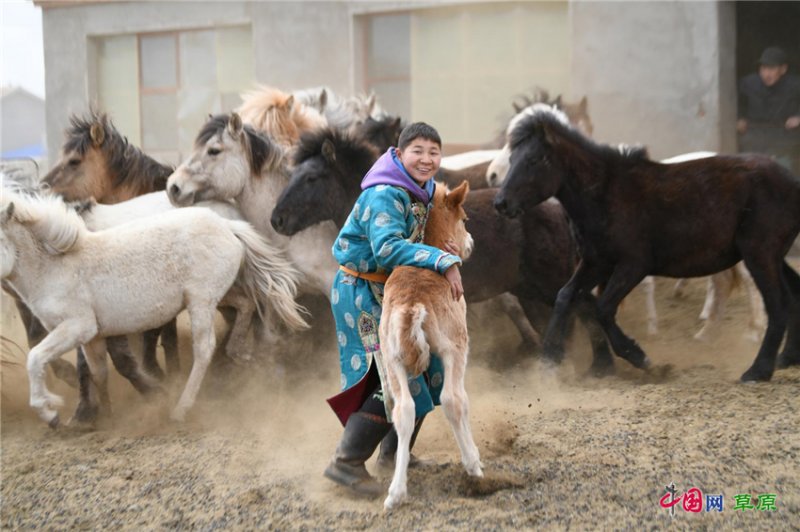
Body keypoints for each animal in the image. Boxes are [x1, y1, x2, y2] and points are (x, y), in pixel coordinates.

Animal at [0, 189, 308, 426]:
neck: (55, 266)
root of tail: (227, 226)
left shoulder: (77, 327)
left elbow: (35, 358)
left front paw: (49, 412)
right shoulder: (92, 336)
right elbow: (98, 372)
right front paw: (105, 417)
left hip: (201, 301)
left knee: (205, 348)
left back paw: (181, 408)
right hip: (217, 295)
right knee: (247, 304)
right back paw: (241, 353)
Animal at [268, 125, 644, 374]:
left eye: (311, 178)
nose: (277, 219)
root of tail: (557, 209)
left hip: (548, 282)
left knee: (584, 305)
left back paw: (612, 360)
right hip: (531, 285)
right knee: (581, 305)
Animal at [380, 181, 484, 510]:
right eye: (464, 219)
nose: (471, 242)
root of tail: (412, 305)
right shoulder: (459, 344)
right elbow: (459, 400)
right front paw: (474, 459)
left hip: (392, 359)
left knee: (403, 410)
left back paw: (396, 492)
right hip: (454, 347)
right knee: (452, 399)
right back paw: (473, 465)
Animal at [494, 106, 800, 382]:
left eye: (535, 159)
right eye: (512, 158)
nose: (501, 203)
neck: (604, 195)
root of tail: (792, 181)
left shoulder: (633, 265)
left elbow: (602, 308)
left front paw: (641, 358)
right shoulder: (597, 262)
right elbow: (565, 297)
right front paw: (548, 363)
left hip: (759, 254)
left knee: (778, 304)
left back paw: (758, 370)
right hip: (773, 256)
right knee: (792, 295)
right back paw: (786, 358)